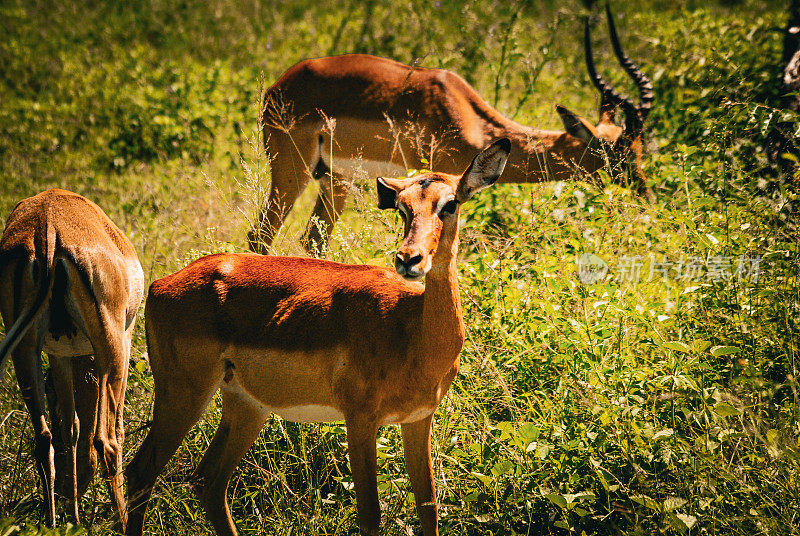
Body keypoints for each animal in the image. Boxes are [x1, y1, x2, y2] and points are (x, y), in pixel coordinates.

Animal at [0, 188, 142, 528]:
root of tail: (48, 230)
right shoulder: (124, 339)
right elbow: (106, 429)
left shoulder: (60, 355)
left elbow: (72, 428)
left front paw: (74, 517)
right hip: (112, 350)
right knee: (107, 441)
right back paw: (123, 523)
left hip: (25, 352)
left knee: (45, 440)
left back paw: (54, 524)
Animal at [126, 139, 512, 536]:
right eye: (403, 208)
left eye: (450, 203)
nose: (408, 258)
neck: (411, 331)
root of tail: (160, 284)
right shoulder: (360, 420)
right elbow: (370, 514)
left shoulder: (418, 420)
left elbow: (429, 508)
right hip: (184, 393)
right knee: (140, 473)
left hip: (246, 403)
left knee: (207, 480)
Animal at [248, 5, 648, 253]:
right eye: (618, 153)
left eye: (641, 147)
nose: (644, 196)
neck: (471, 120)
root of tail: (277, 87)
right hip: (292, 172)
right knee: (260, 234)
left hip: (335, 178)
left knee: (313, 240)